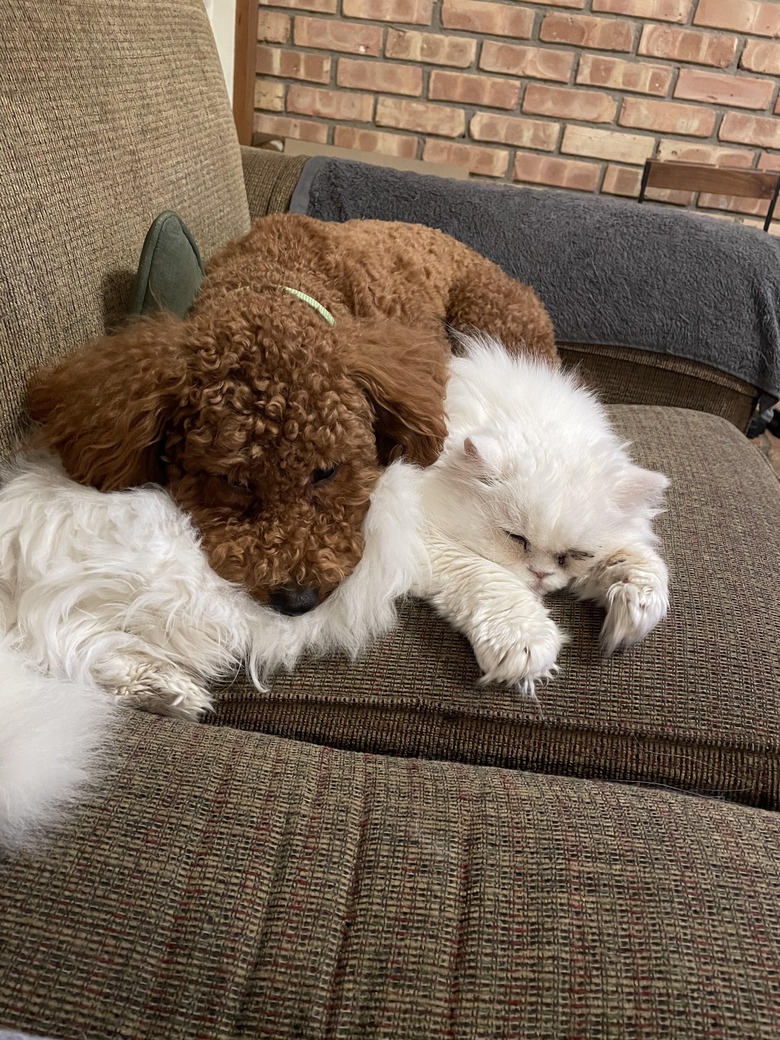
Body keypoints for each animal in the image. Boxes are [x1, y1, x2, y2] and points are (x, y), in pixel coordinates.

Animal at [416, 330, 673, 698]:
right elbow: (488, 579)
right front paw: (527, 644)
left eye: (576, 555)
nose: (539, 575)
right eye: (515, 538)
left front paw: (632, 614)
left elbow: (642, 565)